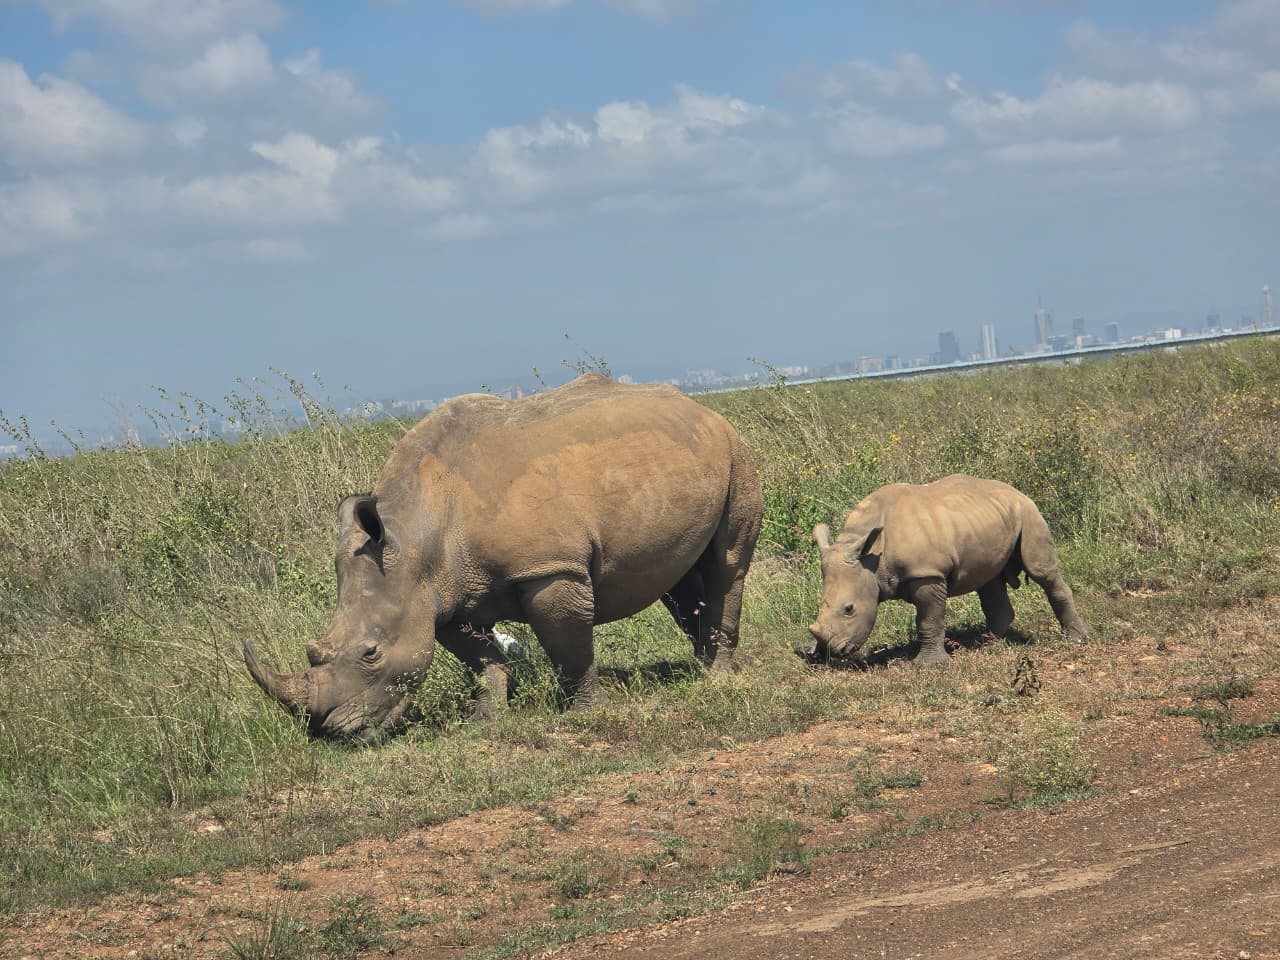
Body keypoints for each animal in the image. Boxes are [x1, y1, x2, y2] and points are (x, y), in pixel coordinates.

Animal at [244, 373, 763, 743]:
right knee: (678, 581)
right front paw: (486, 721)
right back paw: (701, 665)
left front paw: (587, 713)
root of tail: (700, 406)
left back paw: (718, 679)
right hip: (683, 455)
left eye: (371, 652)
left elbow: (568, 647)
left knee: (727, 564)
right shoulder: (442, 596)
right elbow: (481, 660)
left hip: (737, 451)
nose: (332, 732)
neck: (413, 540)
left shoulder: (550, 569)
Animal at [807, 474, 1089, 665]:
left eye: (849, 609)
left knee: (1041, 571)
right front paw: (814, 654)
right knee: (989, 582)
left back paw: (1077, 639)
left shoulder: (927, 574)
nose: (832, 652)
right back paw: (987, 642)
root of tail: (1016, 490)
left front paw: (928, 665)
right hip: (988, 519)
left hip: (1029, 513)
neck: (872, 559)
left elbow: (928, 620)